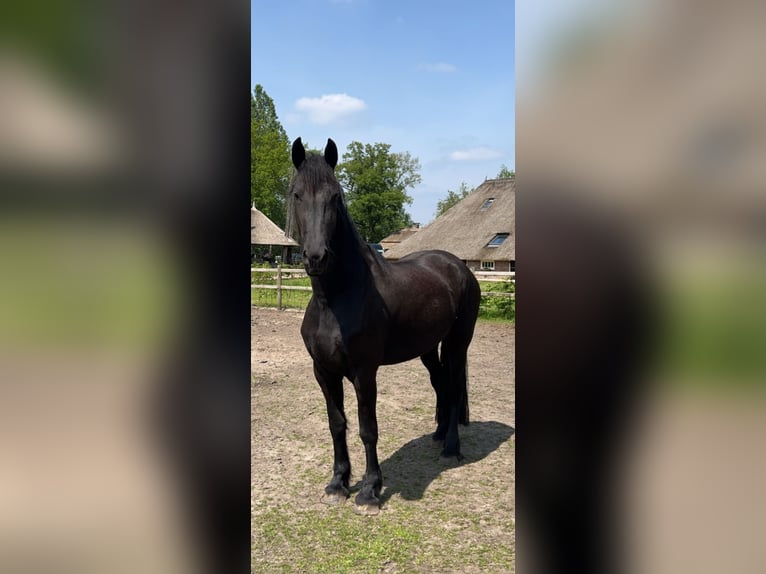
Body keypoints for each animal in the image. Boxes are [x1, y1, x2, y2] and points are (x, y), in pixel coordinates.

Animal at [289, 137, 481, 515]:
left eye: (335, 196)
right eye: (297, 194)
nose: (316, 257)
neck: (335, 299)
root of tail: (458, 266)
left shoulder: (365, 372)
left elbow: (368, 429)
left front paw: (369, 491)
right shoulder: (324, 371)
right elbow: (337, 424)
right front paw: (337, 484)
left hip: (457, 343)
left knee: (452, 389)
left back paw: (450, 448)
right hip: (427, 348)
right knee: (441, 385)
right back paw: (437, 435)